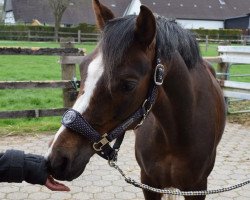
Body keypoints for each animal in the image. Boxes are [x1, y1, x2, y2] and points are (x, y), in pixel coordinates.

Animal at [45, 0, 227, 199]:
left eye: (128, 85)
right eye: (83, 68)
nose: (57, 159)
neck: (176, 134)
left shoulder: (197, 188)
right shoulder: (148, 183)